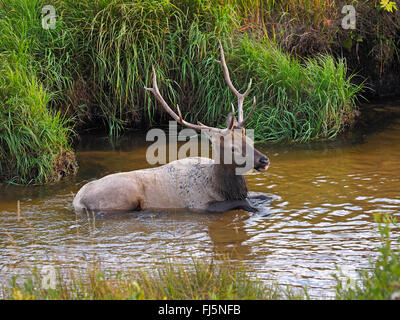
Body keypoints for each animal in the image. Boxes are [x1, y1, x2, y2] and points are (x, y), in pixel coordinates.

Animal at [73, 40, 270, 215]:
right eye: (233, 148)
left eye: (250, 140)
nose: (264, 160)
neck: (219, 187)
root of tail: (77, 200)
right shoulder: (199, 205)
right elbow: (243, 203)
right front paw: (259, 210)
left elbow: (264, 195)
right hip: (123, 196)